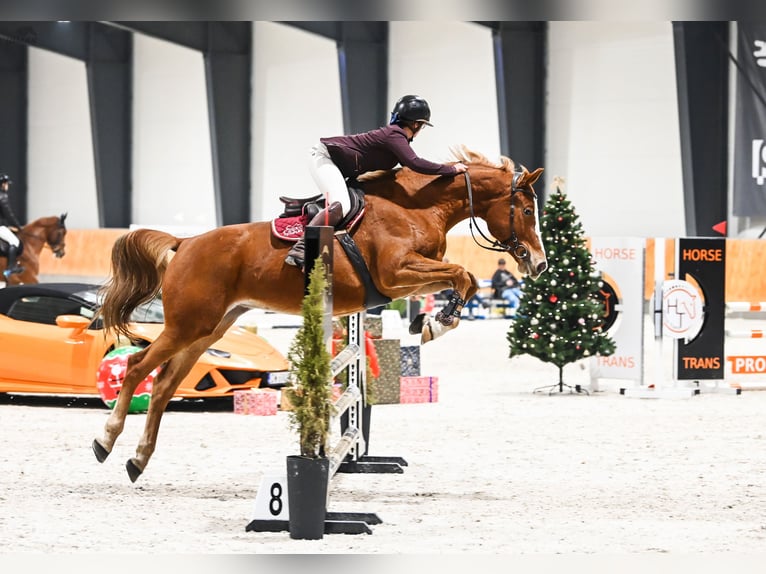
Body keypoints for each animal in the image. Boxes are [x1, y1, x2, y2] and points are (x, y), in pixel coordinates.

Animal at [92, 146, 547, 482]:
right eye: (526, 211)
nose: (540, 265)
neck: (417, 208)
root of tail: (185, 243)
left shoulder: (406, 281)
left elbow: (462, 278)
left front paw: (432, 321)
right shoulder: (396, 274)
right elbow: (462, 274)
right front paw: (437, 323)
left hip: (209, 329)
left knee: (164, 384)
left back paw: (137, 460)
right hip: (187, 325)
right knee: (137, 366)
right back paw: (105, 442)